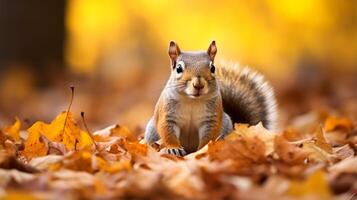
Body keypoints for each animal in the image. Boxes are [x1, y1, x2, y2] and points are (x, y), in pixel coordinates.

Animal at [143, 41, 276, 156]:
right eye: (178, 69)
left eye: (213, 68)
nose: (198, 85)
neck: (192, 101)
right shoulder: (167, 114)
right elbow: (167, 132)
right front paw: (174, 148)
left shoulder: (211, 118)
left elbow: (209, 136)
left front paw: (203, 149)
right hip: (152, 130)